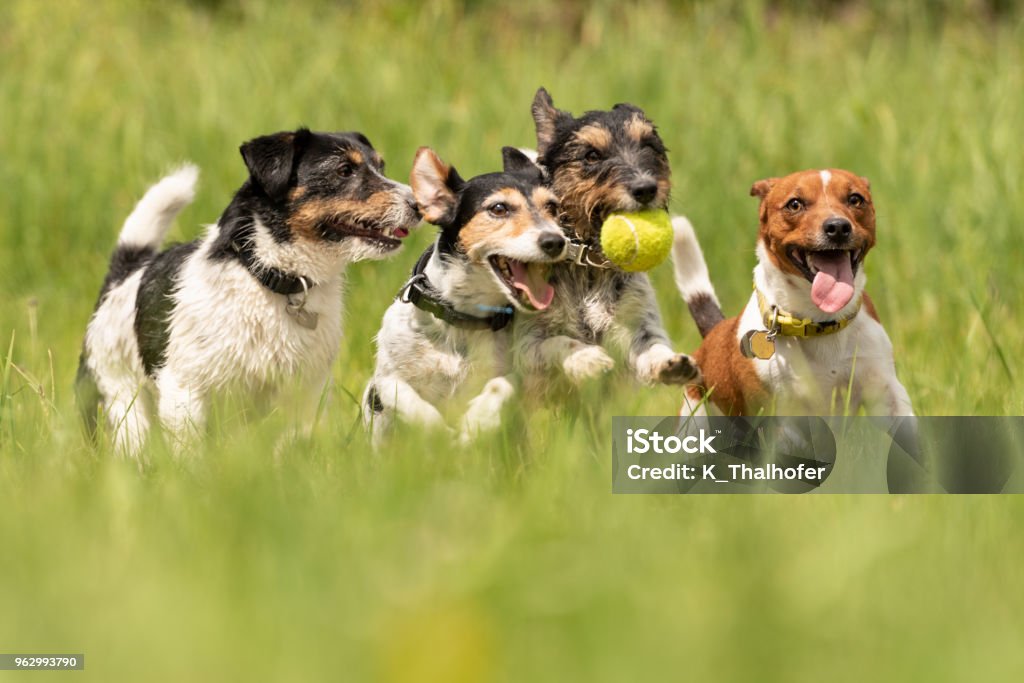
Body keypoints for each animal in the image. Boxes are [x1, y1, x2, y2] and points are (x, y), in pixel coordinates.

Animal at [74, 130, 419, 456]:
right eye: (344, 170)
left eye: (381, 166)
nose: (417, 205)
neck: (271, 279)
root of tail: (122, 279)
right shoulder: (184, 391)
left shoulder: (305, 393)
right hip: (122, 405)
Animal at [362, 145, 569, 446]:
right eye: (499, 208)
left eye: (552, 207)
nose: (556, 241)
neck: (462, 317)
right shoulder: (383, 381)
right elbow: (402, 394)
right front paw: (438, 431)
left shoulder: (518, 371)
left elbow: (503, 384)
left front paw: (476, 422)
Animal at [671, 171, 913, 417]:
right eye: (794, 204)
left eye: (855, 199)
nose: (837, 227)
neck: (820, 321)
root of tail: (712, 333)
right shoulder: (781, 412)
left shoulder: (887, 391)